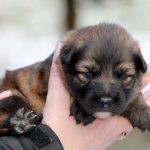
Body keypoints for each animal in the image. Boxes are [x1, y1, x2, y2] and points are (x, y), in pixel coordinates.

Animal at [0, 22, 149, 136]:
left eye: (124, 76)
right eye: (87, 74)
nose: (106, 101)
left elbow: (135, 93)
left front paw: (141, 108)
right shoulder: (42, 81)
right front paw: (82, 110)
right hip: (13, 95)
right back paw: (20, 122)